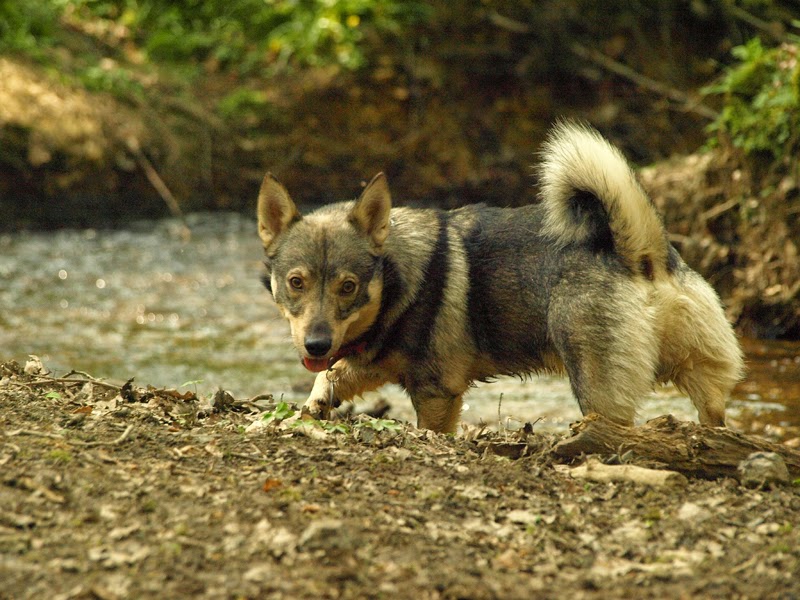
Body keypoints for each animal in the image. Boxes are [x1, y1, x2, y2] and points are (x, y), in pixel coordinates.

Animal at [256, 120, 744, 432]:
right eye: (296, 282)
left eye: (348, 287)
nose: (316, 344)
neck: (397, 279)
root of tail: (639, 250)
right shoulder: (372, 362)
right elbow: (332, 376)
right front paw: (315, 404)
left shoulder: (436, 392)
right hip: (701, 374)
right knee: (715, 414)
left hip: (598, 389)